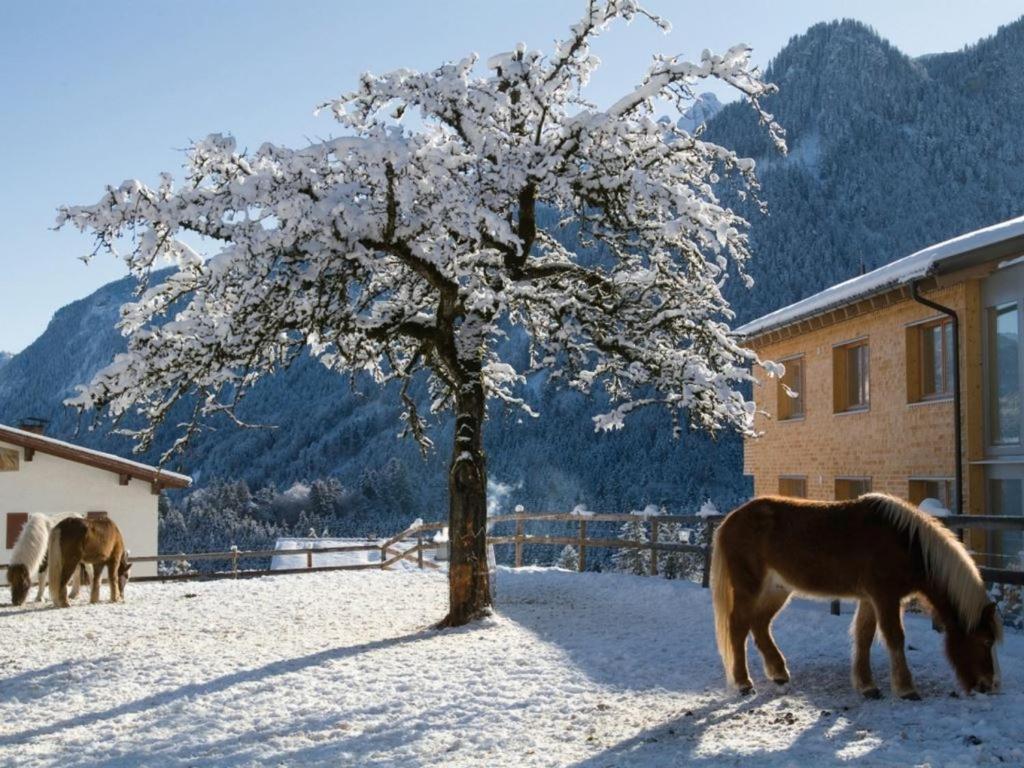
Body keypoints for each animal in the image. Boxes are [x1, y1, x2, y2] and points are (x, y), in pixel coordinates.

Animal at [712, 495, 999, 700]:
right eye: (985, 641)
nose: (990, 685)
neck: (904, 542)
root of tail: (731, 520)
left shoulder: (870, 599)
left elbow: (864, 637)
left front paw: (867, 686)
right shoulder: (885, 597)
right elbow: (894, 638)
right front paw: (906, 688)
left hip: (778, 589)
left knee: (759, 625)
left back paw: (779, 673)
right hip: (749, 588)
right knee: (738, 627)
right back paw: (743, 683)